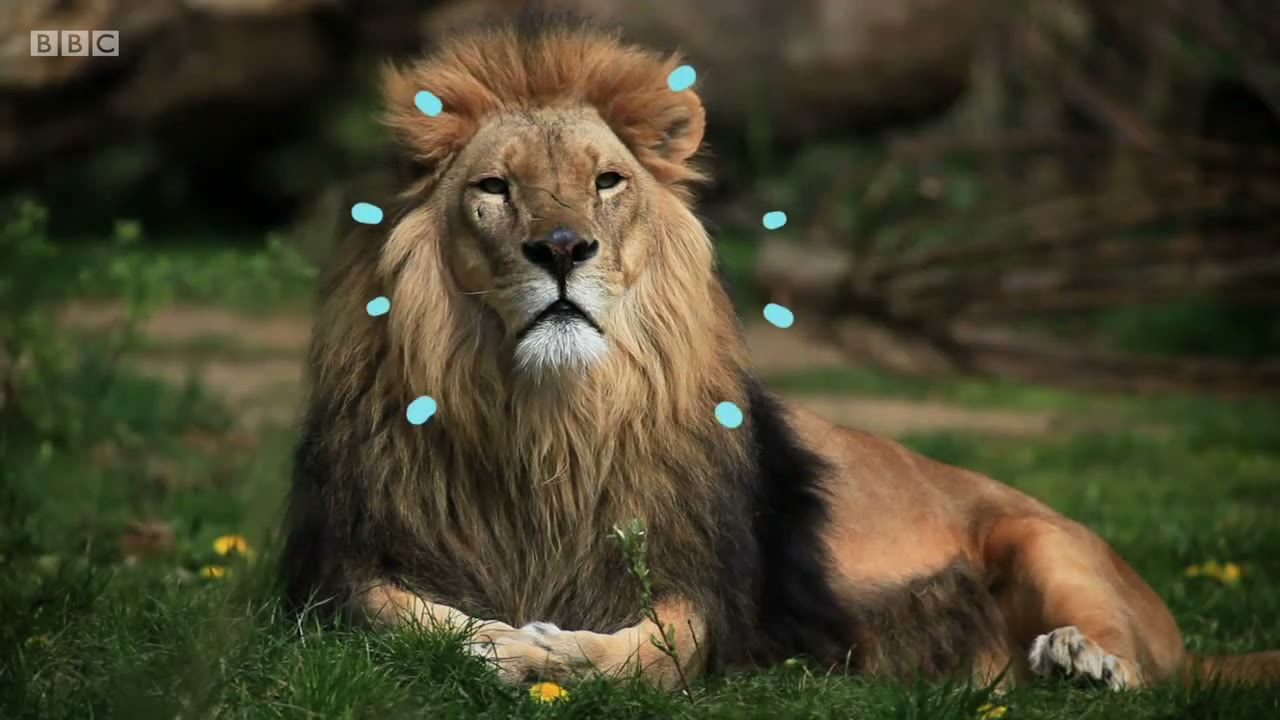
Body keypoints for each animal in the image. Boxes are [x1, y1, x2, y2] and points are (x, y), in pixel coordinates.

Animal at [280, 15, 1280, 692]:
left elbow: (660, 651)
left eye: (607, 181)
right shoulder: (332, 577)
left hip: (1049, 540)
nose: (562, 249)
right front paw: (487, 639)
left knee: (1139, 672)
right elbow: (396, 619)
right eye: (493, 187)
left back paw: (1084, 662)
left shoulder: (716, 591)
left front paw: (539, 647)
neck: (550, 420)